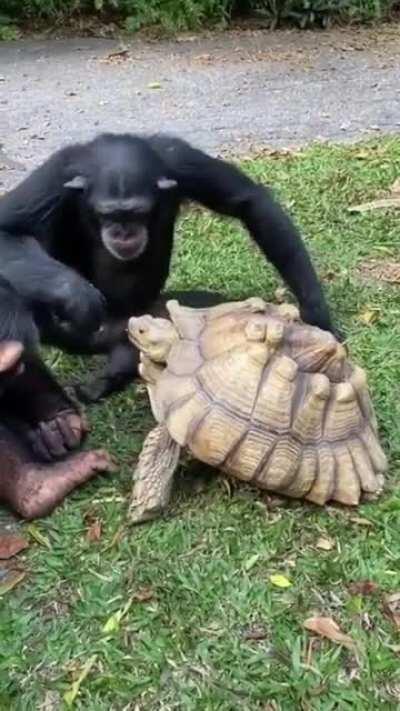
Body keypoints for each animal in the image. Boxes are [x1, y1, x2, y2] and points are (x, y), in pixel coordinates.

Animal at [0, 131, 334, 404]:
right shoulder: (55, 175)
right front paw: (77, 296)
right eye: (108, 214)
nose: (123, 232)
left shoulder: (181, 159)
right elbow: (8, 229)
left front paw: (316, 314)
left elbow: (249, 201)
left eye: (137, 212)